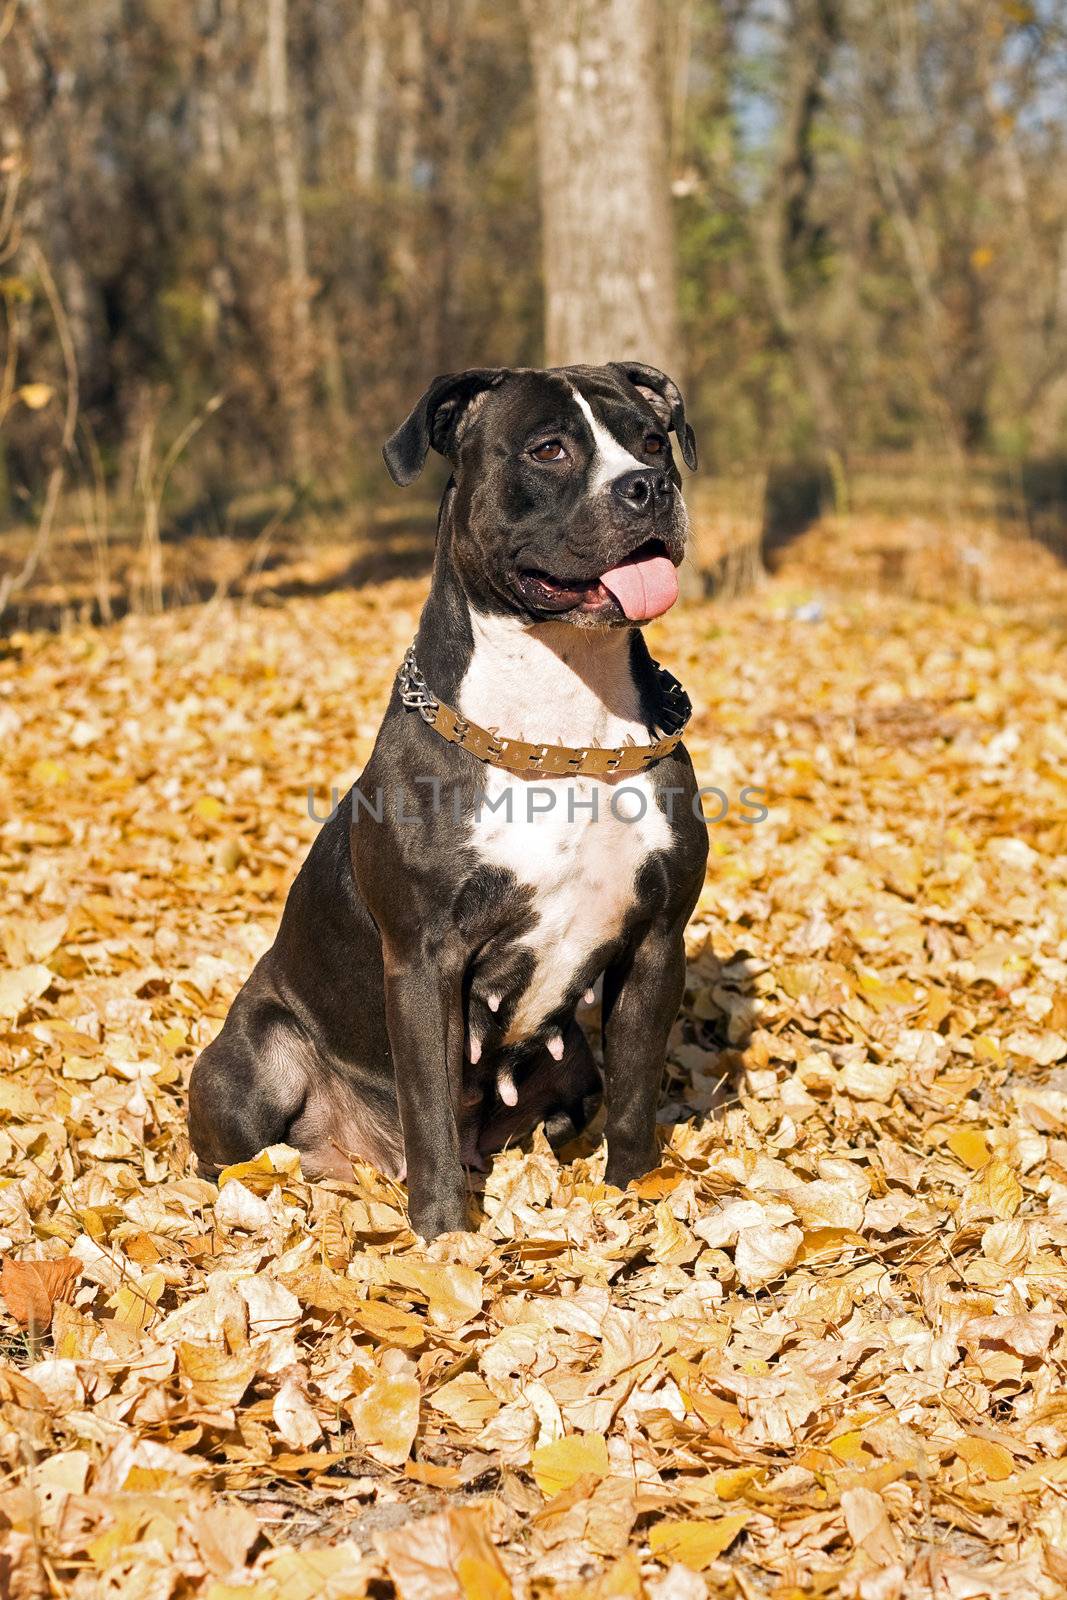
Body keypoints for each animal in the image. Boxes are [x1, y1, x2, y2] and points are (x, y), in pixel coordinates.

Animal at [189, 360, 710, 1235]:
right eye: (548, 449)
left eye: (651, 438)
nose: (649, 486)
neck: (562, 723)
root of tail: (352, 1155)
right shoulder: (425, 958)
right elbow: (429, 1108)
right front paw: (442, 1236)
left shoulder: (654, 940)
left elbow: (637, 1094)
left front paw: (631, 1199)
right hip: (255, 1065)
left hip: (572, 1070)